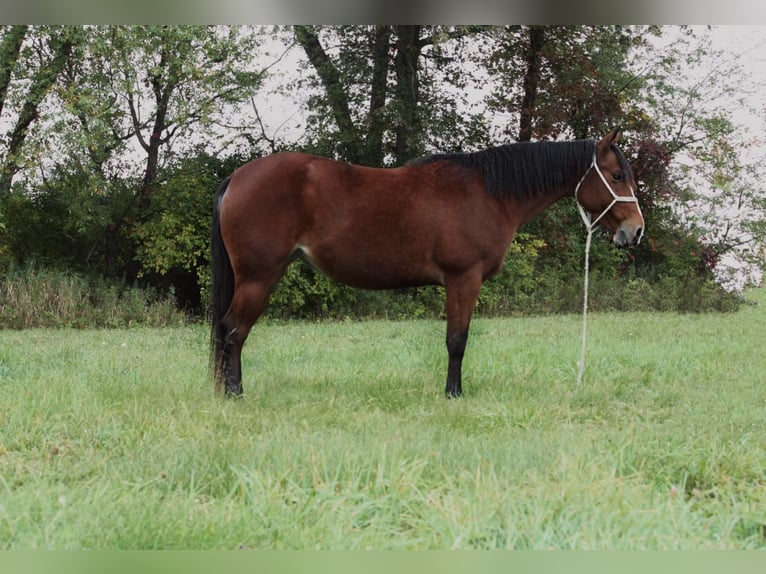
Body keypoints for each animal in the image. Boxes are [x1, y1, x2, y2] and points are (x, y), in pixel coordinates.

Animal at [208, 130, 640, 400]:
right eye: (618, 175)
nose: (635, 231)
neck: (488, 193)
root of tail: (236, 177)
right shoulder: (463, 279)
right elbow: (457, 340)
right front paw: (454, 393)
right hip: (259, 276)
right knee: (234, 331)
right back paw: (235, 394)